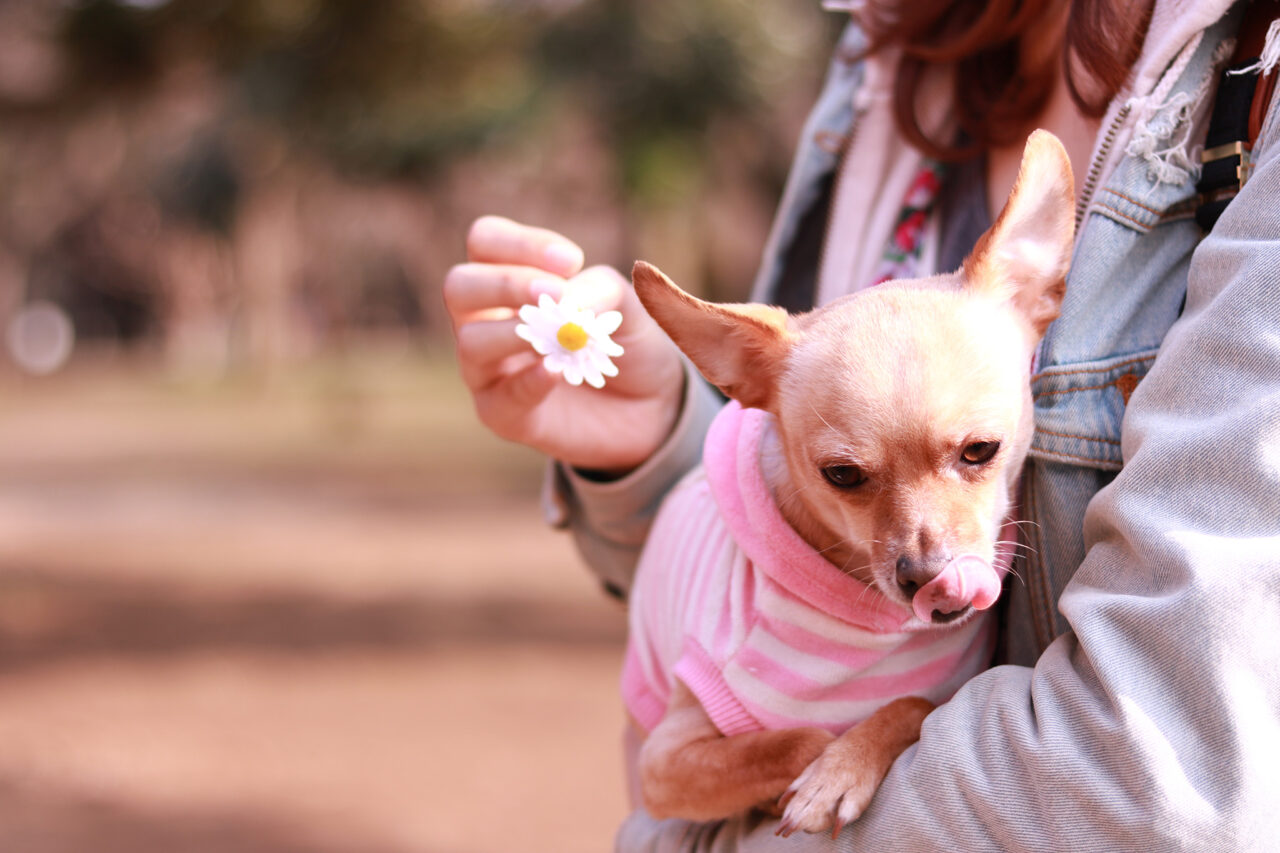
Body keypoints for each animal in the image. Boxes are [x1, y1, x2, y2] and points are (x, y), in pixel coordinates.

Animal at [624, 131, 1075, 829]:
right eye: (841, 475)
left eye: (981, 451)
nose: (926, 578)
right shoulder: (667, 763)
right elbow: (797, 739)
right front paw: (826, 770)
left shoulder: (941, 694)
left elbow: (913, 705)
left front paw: (844, 765)